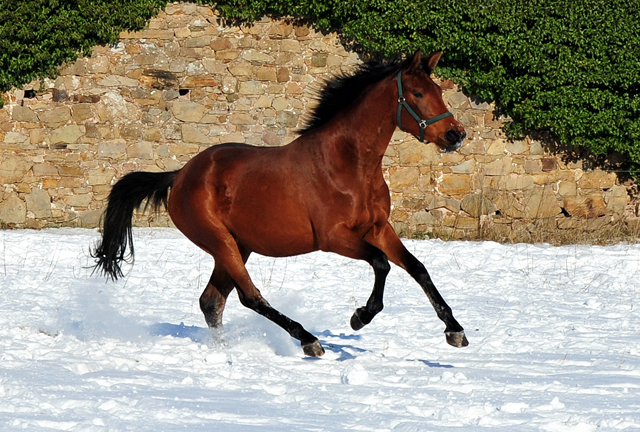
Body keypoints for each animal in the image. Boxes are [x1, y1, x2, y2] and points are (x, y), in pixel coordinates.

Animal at [92, 50, 468, 356]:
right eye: (418, 94)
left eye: (440, 92)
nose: (456, 135)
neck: (350, 164)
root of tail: (180, 174)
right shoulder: (334, 237)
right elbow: (381, 264)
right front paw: (360, 316)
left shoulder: (377, 228)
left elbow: (418, 268)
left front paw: (455, 330)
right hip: (220, 241)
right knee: (248, 296)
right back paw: (308, 340)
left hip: (237, 245)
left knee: (212, 301)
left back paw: (226, 350)